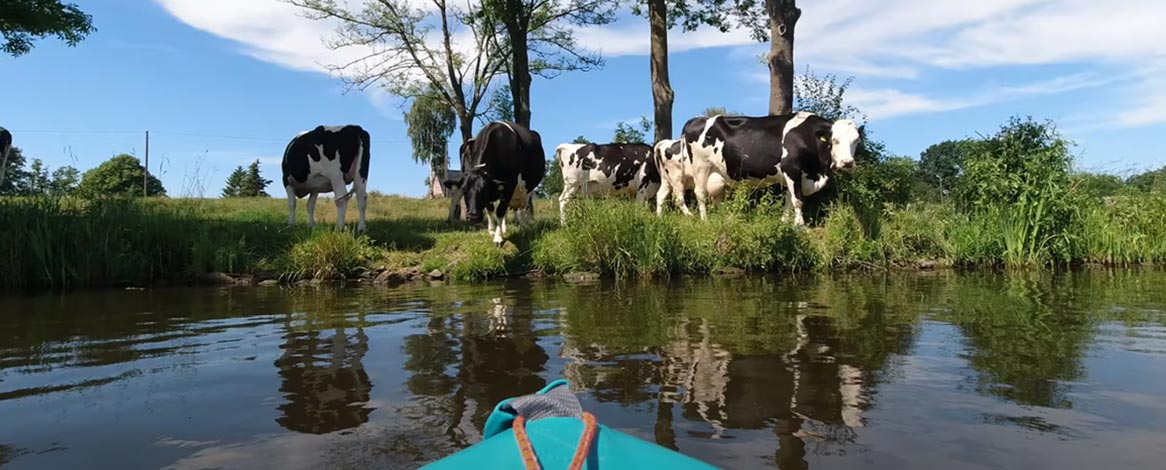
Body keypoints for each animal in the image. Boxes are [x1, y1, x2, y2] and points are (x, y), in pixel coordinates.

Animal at [680, 112, 862, 226]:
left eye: (857, 140)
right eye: (835, 140)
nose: (847, 162)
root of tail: (696, 120)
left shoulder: (795, 176)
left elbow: (788, 200)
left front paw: (785, 222)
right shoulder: (792, 169)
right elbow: (798, 200)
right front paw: (800, 226)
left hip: (717, 173)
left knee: (717, 197)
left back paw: (724, 218)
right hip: (701, 166)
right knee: (700, 193)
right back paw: (705, 220)